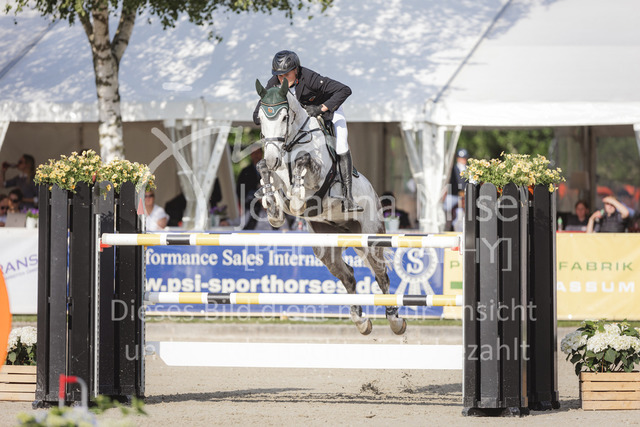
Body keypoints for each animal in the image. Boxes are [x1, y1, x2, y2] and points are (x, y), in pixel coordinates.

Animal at [254, 78, 406, 335]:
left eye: (284, 118)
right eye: (262, 118)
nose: (274, 158)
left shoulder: (318, 173)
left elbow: (303, 162)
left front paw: (297, 197)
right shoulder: (275, 171)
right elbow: (263, 169)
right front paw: (272, 208)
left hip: (371, 238)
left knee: (381, 275)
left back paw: (395, 321)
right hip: (326, 247)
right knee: (348, 276)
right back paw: (361, 321)